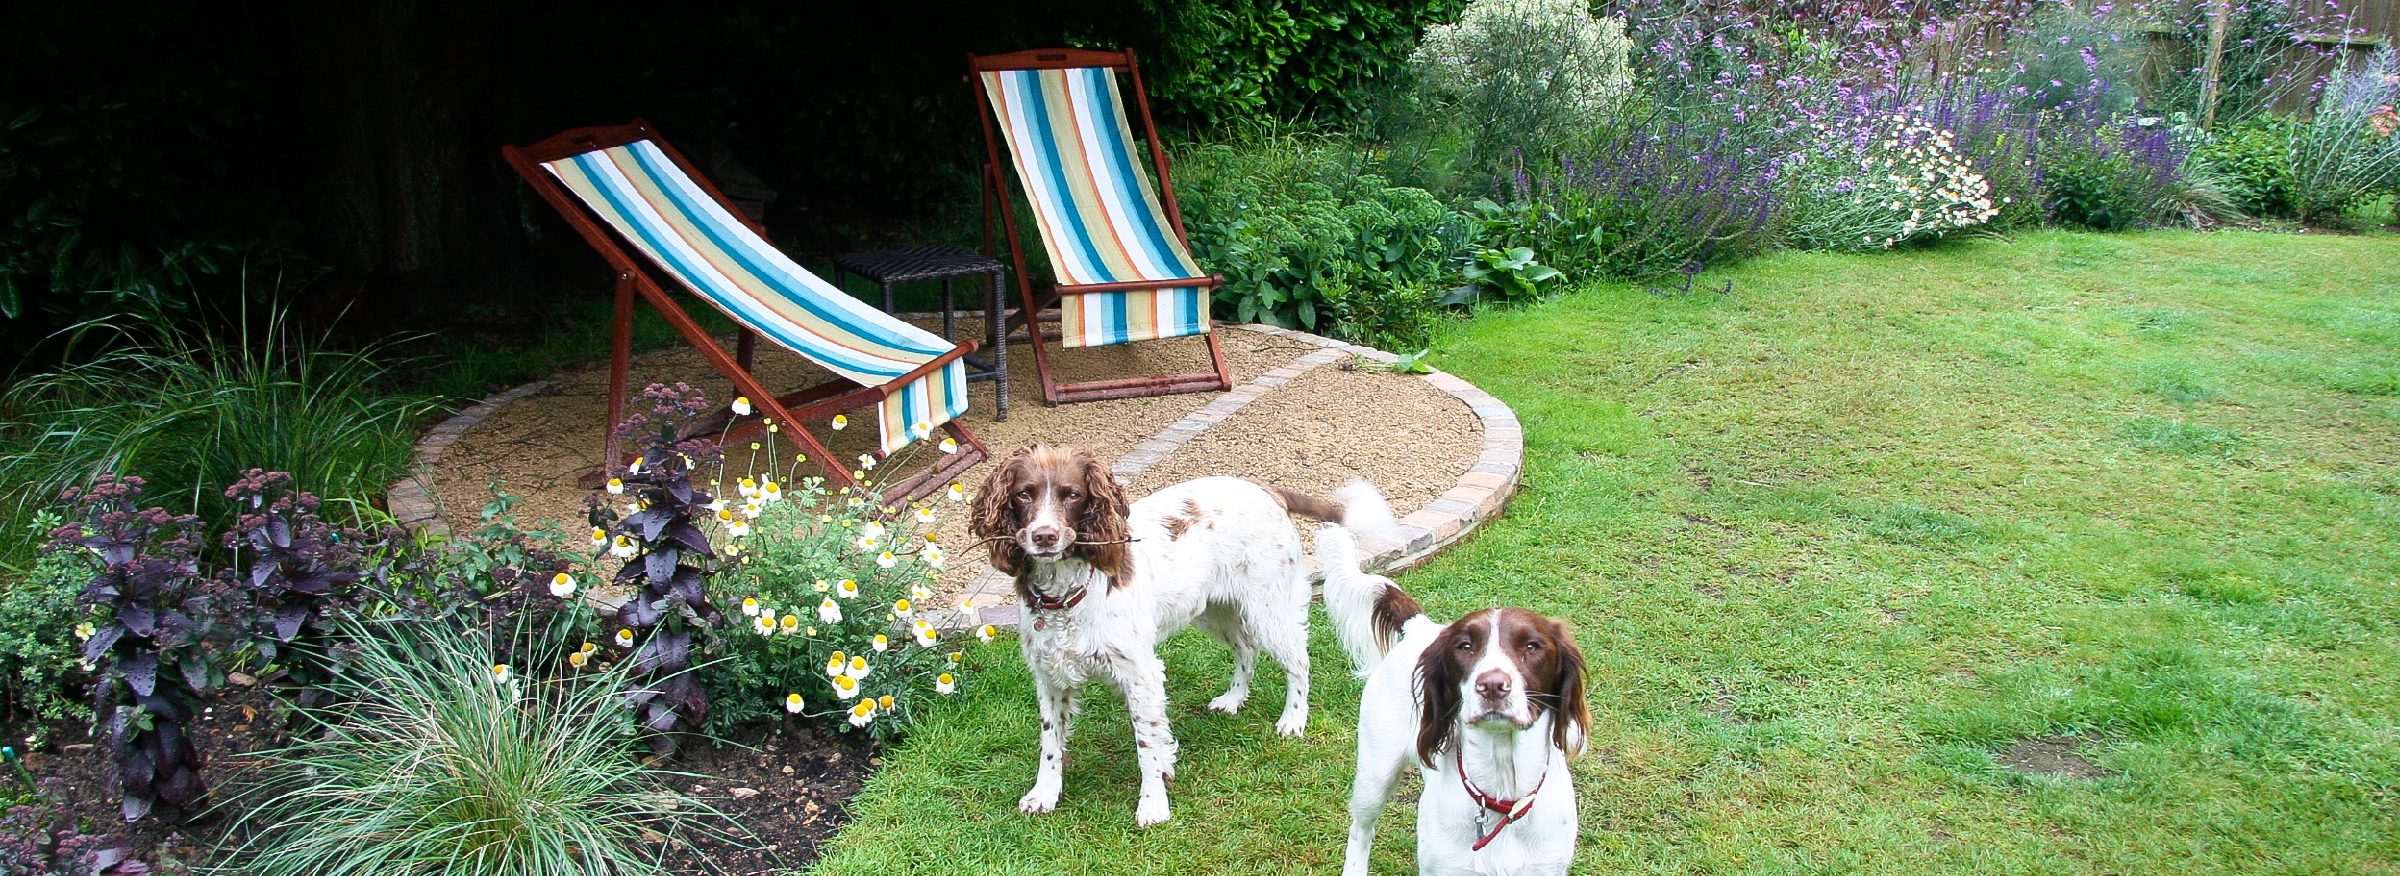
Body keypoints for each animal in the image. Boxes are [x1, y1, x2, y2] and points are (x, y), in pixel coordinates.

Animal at [969, 446, 1401, 820]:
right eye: (1024, 494)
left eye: (1072, 494)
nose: (1044, 536)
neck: (1066, 591)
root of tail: (1267, 489)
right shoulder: (1049, 675)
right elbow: (1051, 742)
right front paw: (1044, 794)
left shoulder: (1140, 673)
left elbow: (1146, 745)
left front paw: (1153, 804)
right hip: (1214, 610)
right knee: (1247, 649)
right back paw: (1233, 699)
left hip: (1268, 608)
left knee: (1299, 661)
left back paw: (1293, 719)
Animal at [1315, 523, 1593, 868]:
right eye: (1465, 646)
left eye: (1532, 646)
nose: (1492, 685)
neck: (1502, 796)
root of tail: (1420, 627)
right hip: (1375, 773)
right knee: (1361, 829)